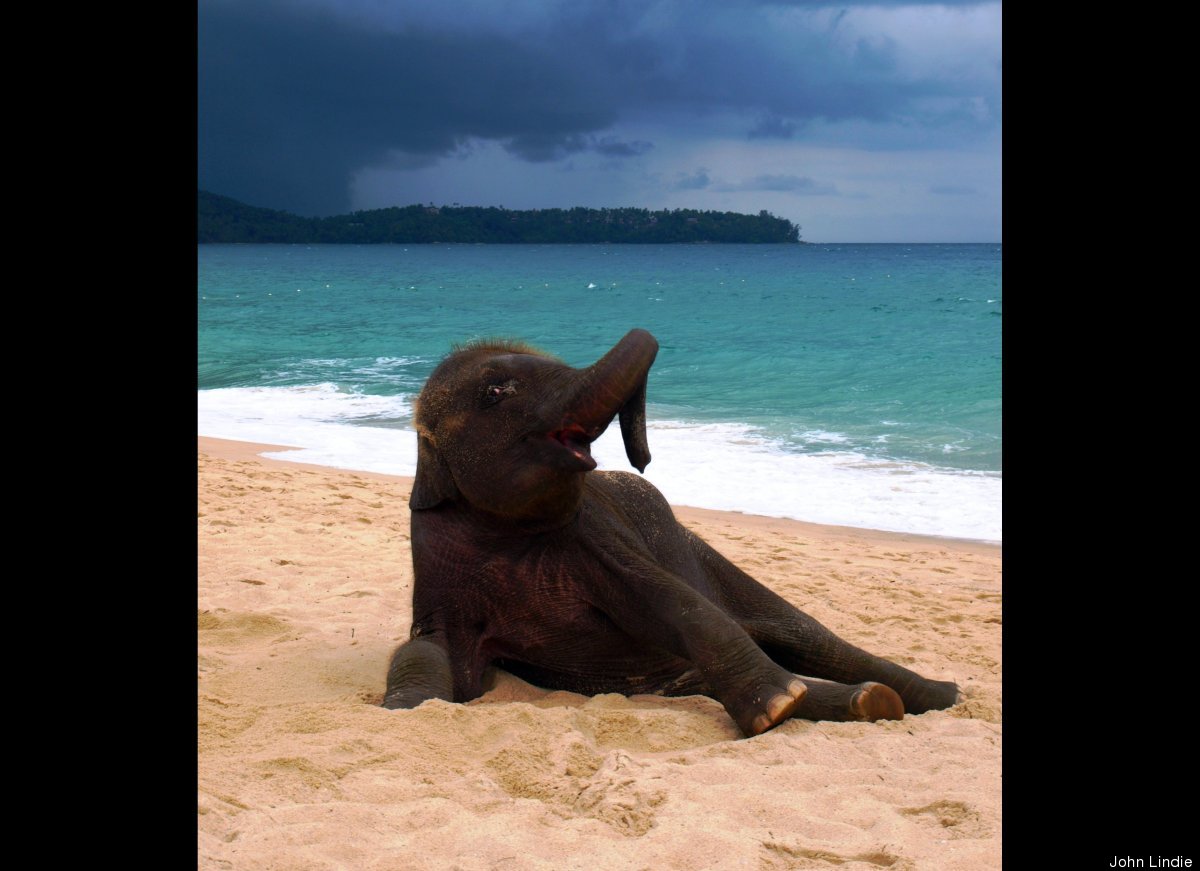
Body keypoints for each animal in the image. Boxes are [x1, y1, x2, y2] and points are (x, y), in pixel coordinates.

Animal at [383, 328, 959, 737]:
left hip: (707, 555)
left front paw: (776, 707)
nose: (643, 460)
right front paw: (409, 708)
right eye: (495, 391)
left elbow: (673, 603)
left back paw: (935, 696)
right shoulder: (435, 566)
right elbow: (428, 649)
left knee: (814, 640)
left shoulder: (599, 538)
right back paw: (869, 701)